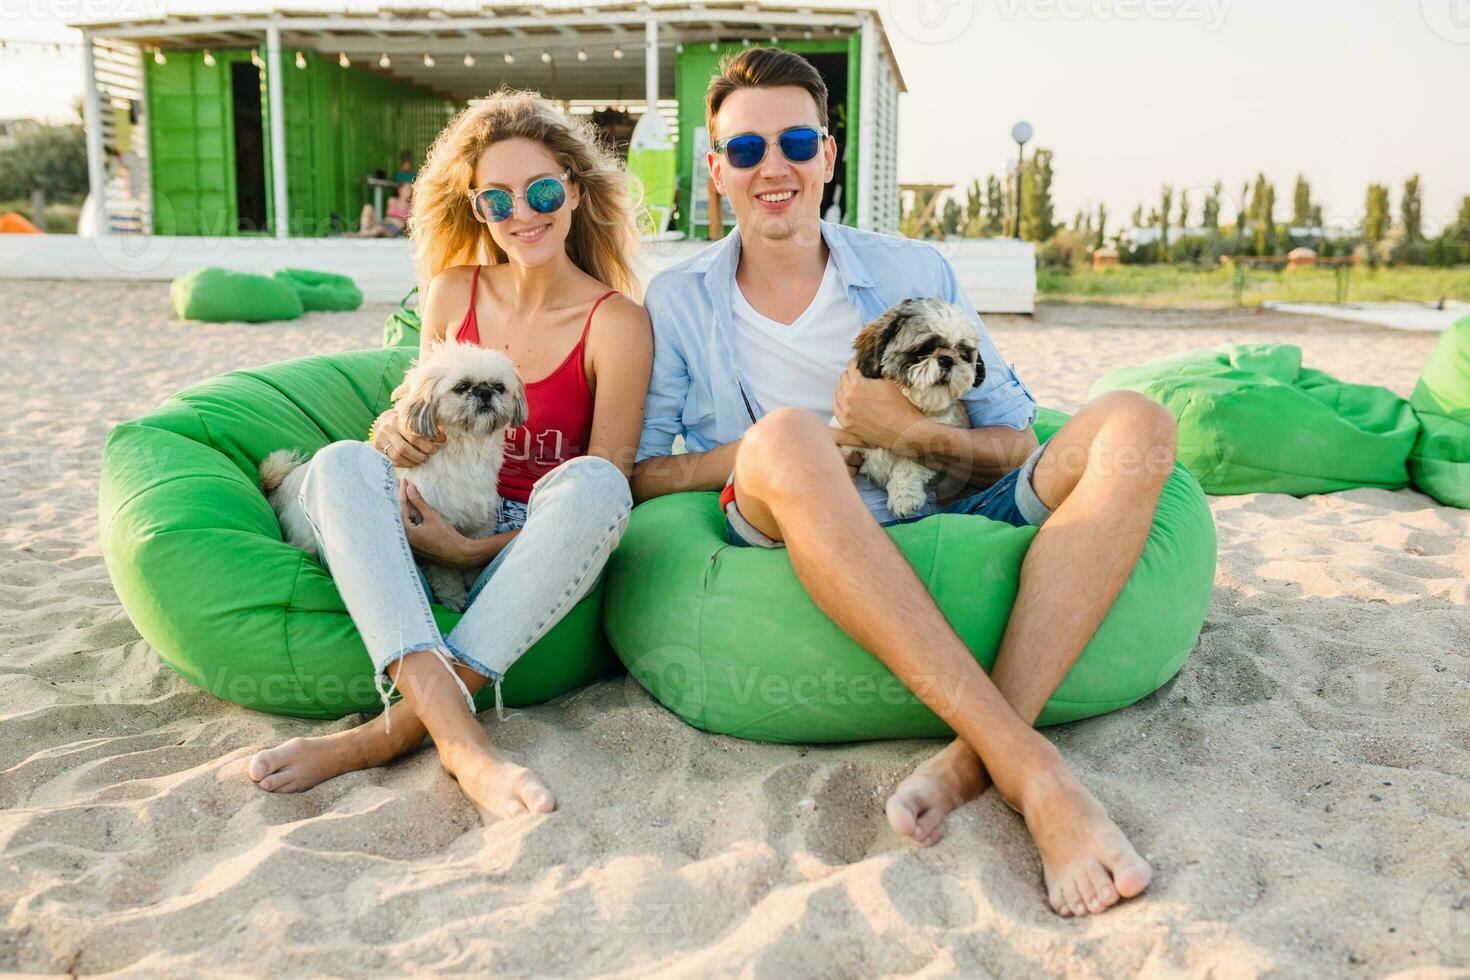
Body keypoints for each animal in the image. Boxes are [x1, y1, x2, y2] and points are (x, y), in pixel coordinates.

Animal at [263, 340, 529, 608]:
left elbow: (472, 562)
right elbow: (445, 573)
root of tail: (278, 488)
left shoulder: (479, 525)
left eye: (499, 387)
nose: (485, 392)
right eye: (462, 386)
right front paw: (453, 597)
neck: (467, 452)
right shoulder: (436, 531)